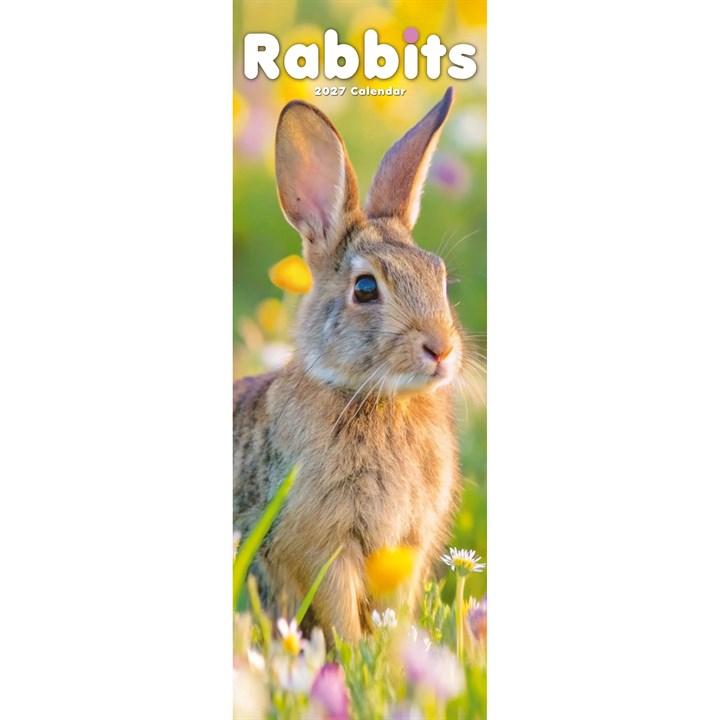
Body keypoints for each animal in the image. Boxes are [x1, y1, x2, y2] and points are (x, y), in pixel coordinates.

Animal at [234, 87, 466, 643]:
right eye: (364, 288)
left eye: (440, 277)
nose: (441, 349)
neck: (377, 399)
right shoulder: (324, 547)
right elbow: (340, 616)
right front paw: (357, 656)